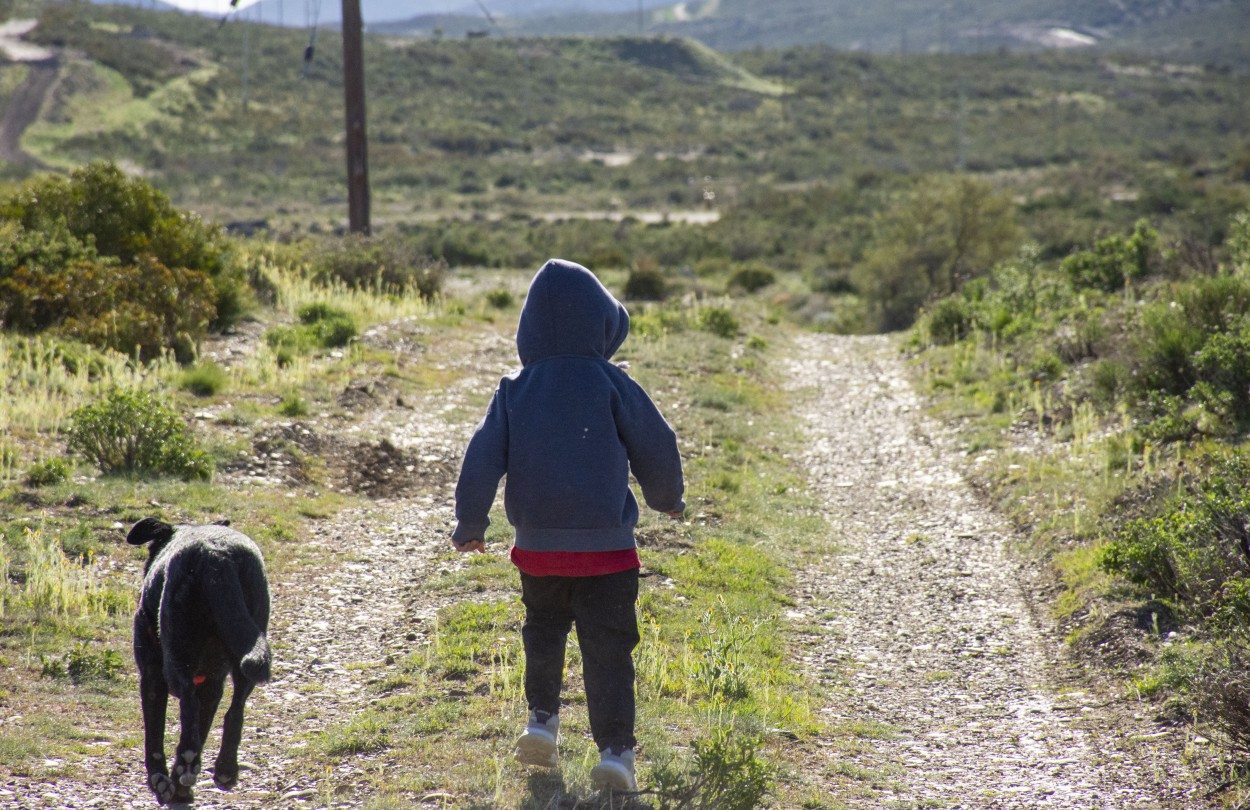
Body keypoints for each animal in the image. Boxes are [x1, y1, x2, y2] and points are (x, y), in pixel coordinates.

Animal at [127, 520, 271, 805]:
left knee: (189, 703)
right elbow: (203, 726)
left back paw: (186, 763)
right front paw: (179, 787)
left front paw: (161, 781)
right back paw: (225, 769)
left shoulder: (151, 676)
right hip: (247, 648)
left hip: (175, 658)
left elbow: (154, 735)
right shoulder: (212, 684)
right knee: (235, 710)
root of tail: (217, 556)